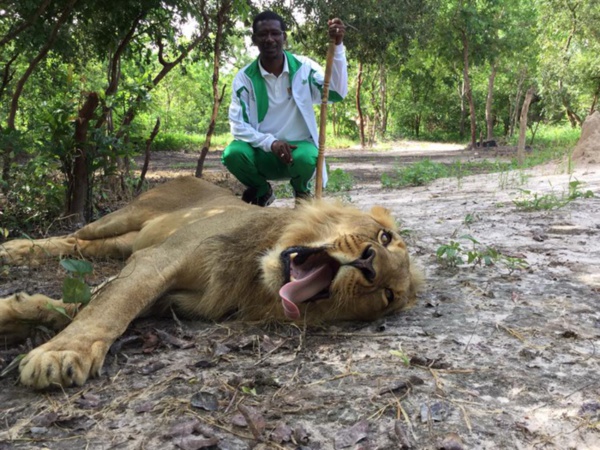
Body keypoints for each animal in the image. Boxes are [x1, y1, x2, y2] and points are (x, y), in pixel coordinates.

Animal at [0, 178, 422, 388]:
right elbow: (109, 308)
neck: (252, 275)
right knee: (74, 234)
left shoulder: (165, 296)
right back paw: (15, 247)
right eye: (384, 237)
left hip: (125, 241)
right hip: (124, 216)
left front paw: (17, 314)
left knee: (83, 247)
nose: (369, 264)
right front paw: (61, 353)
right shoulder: (157, 260)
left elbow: (90, 305)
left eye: (387, 294)